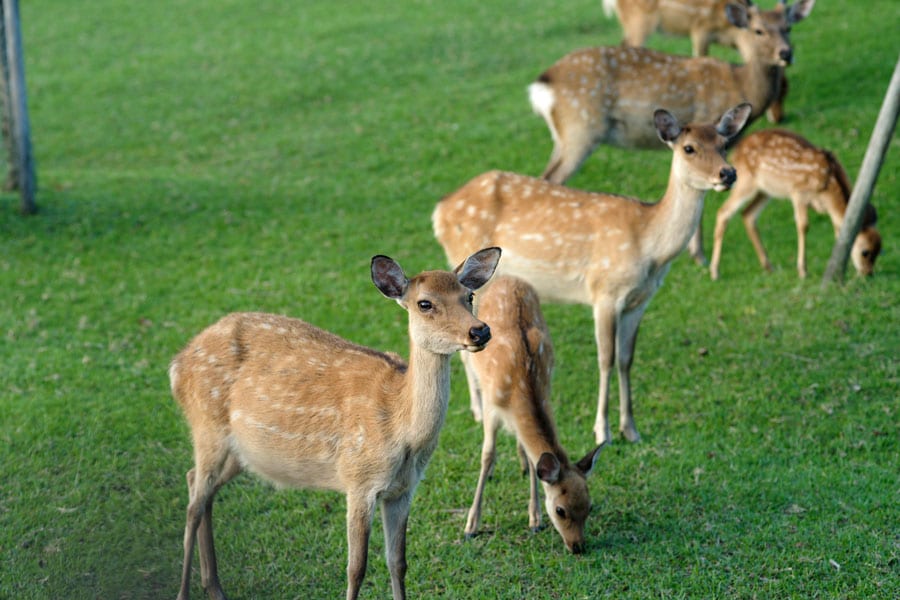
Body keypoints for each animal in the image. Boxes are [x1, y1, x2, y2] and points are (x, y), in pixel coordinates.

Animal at [169, 246, 502, 596]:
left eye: (469, 295)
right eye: (425, 303)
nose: (480, 330)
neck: (404, 435)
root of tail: (177, 365)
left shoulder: (404, 489)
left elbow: (398, 563)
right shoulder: (358, 480)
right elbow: (356, 568)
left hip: (241, 452)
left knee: (198, 486)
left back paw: (215, 588)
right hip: (206, 426)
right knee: (193, 504)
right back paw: (184, 592)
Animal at [436, 103, 752, 442]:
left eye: (724, 143)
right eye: (689, 148)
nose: (728, 173)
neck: (649, 248)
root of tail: (439, 211)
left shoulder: (639, 301)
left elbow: (626, 359)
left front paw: (631, 428)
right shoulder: (605, 291)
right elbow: (606, 359)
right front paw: (603, 430)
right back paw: (479, 411)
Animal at [460, 276, 600, 552]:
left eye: (589, 507)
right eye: (560, 510)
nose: (577, 546)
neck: (521, 387)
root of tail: (507, 278)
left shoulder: (546, 389)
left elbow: (532, 456)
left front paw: (534, 519)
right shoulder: (492, 404)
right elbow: (487, 455)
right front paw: (471, 526)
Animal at [528, 0, 816, 183]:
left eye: (788, 27)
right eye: (758, 30)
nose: (785, 53)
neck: (740, 83)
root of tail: (541, 85)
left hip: (566, 136)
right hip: (581, 129)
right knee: (550, 178)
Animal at [708, 129, 884, 278]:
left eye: (880, 250)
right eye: (865, 252)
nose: (868, 274)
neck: (827, 190)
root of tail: (735, 152)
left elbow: (838, 231)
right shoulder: (799, 192)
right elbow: (803, 225)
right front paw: (803, 271)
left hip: (765, 190)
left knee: (748, 214)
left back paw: (768, 266)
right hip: (746, 181)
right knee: (723, 212)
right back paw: (715, 272)